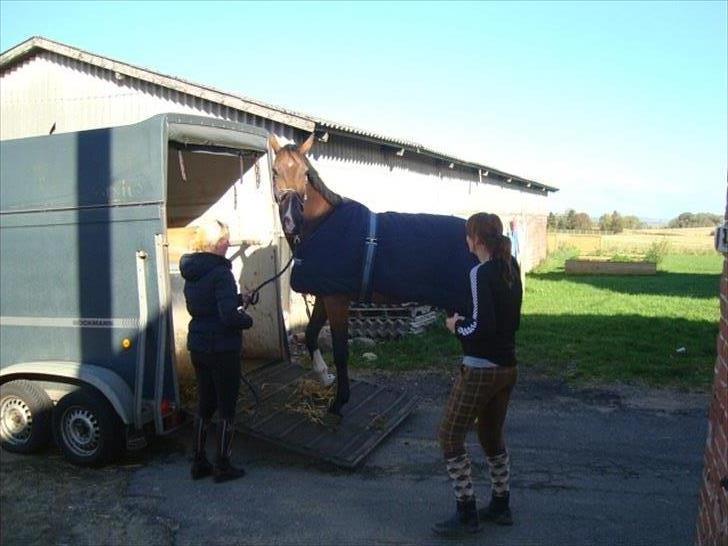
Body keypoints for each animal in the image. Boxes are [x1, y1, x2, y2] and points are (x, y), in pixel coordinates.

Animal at [268, 134, 478, 414]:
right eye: (275, 171)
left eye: (304, 173)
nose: (291, 220)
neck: (322, 224)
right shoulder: (325, 295)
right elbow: (311, 334)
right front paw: (324, 377)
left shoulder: (337, 299)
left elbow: (341, 350)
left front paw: (339, 401)